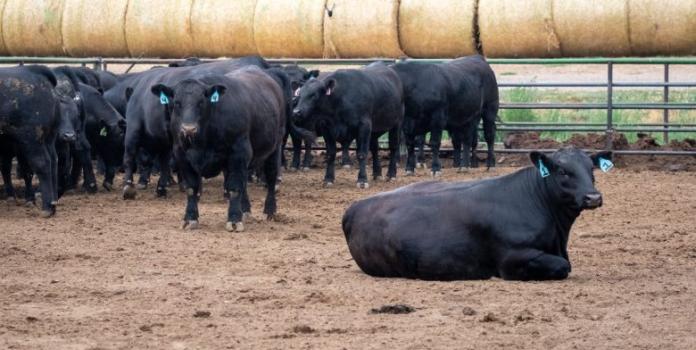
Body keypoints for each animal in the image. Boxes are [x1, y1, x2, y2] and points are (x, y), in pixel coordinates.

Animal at [0, 66, 61, 216]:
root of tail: (32, 70)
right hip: (49, 137)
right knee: (53, 162)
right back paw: (53, 202)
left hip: (31, 138)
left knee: (42, 164)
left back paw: (47, 207)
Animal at [342, 148, 616, 282]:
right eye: (562, 171)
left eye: (591, 169)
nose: (593, 197)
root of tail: (354, 208)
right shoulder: (514, 259)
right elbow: (563, 265)